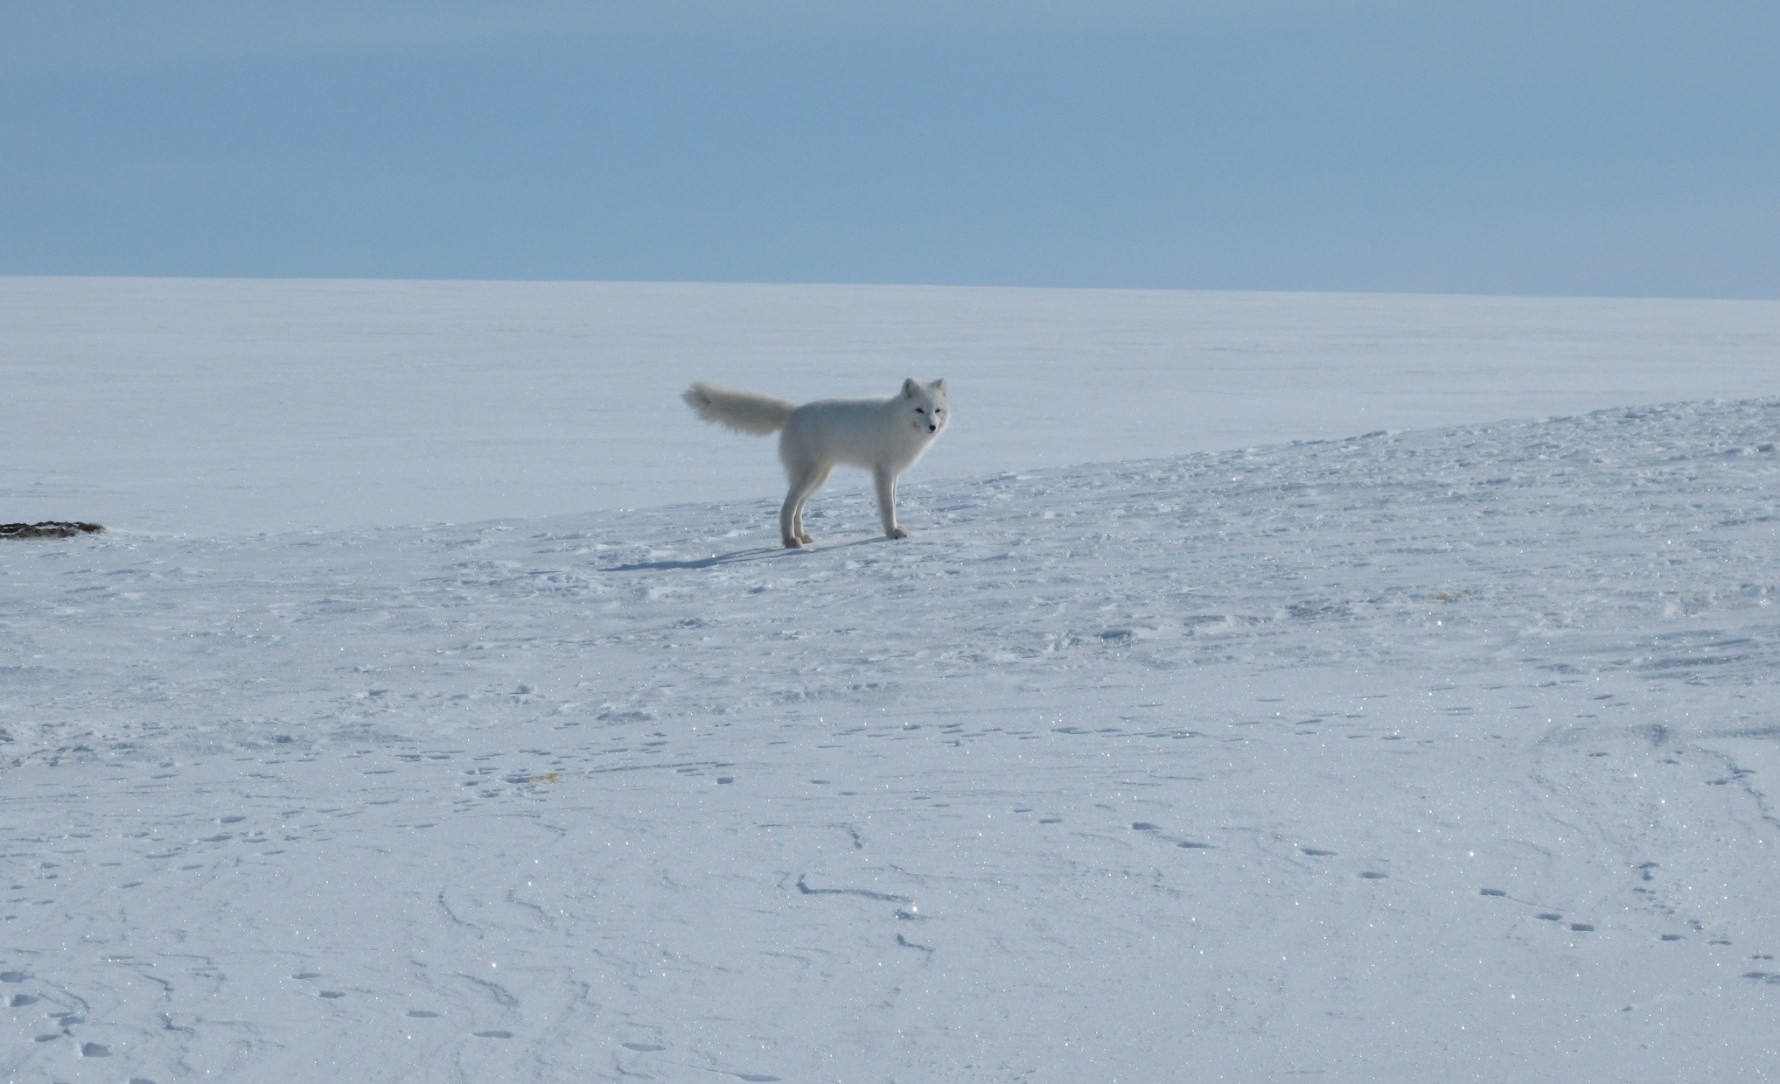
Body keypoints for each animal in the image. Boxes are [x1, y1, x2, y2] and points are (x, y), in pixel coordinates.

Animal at [679, 380, 954, 548]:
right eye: (919, 409)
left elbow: (894, 503)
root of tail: (793, 412)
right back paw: (790, 541)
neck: (898, 422)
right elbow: (887, 506)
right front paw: (892, 532)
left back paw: (801, 536)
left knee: (797, 508)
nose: (932, 426)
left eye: (937, 410)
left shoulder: (894, 473)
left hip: (818, 476)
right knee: (787, 507)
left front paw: (895, 529)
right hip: (809, 475)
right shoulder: (883, 471)